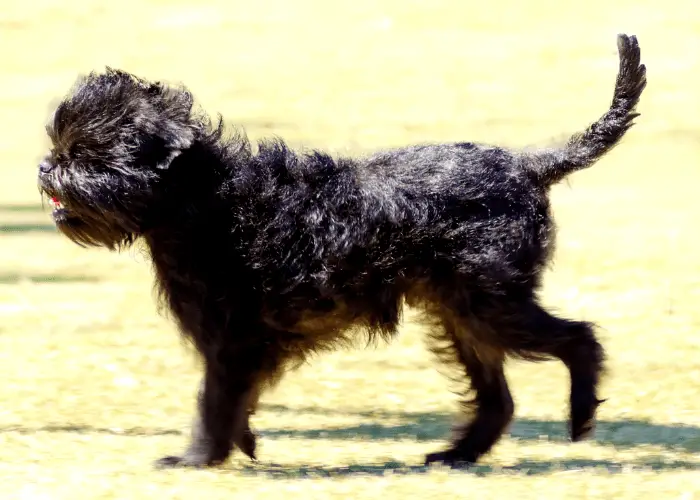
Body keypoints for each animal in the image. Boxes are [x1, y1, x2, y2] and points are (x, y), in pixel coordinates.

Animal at [38, 35, 644, 468]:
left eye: (88, 157)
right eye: (59, 149)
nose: (47, 166)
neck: (203, 198)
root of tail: (528, 166)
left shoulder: (233, 336)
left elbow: (215, 398)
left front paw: (197, 457)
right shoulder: (242, 343)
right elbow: (234, 398)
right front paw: (241, 444)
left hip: (489, 302)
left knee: (579, 339)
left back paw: (580, 419)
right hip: (461, 311)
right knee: (499, 398)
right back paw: (458, 454)